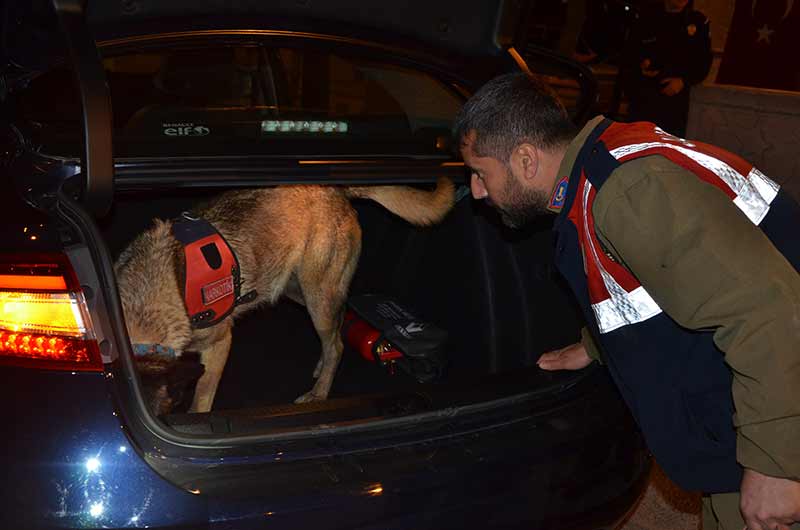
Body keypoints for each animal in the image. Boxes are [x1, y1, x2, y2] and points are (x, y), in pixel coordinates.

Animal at [115, 179, 454, 414]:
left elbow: (201, 399)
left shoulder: (219, 345)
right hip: (298, 292)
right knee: (339, 325)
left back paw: (319, 392)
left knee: (337, 343)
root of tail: (337, 190)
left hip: (317, 298)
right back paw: (321, 368)